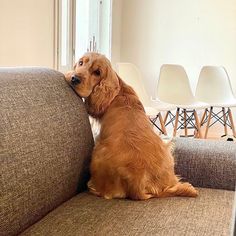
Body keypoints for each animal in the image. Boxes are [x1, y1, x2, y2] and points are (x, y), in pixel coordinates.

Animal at [64, 52, 197, 199]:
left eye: (97, 72)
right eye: (81, 62)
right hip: (167, 150)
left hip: (98, 153)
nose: (74, 78)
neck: (120, 90)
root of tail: (138, 185)